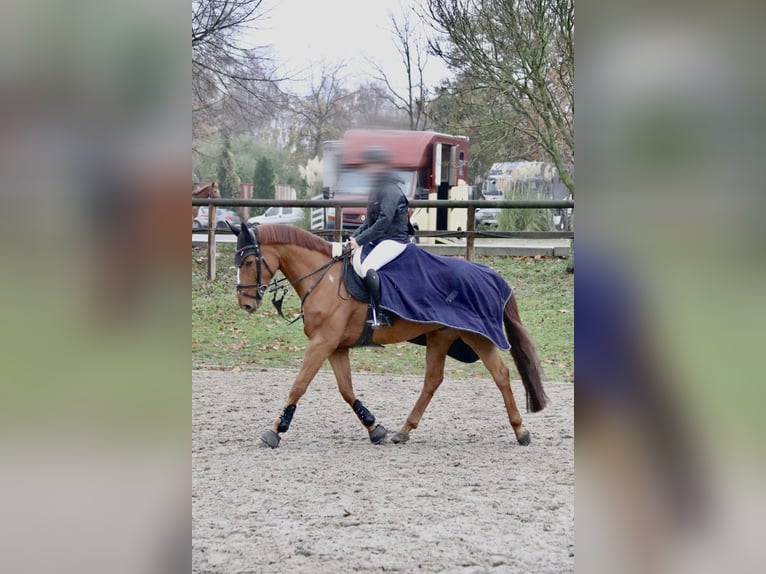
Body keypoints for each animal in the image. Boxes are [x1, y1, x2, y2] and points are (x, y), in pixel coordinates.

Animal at [227, 223, 548, 448]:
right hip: (440, 336)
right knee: (432, 381)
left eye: (248, 262)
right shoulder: (335, 347)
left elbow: (298, 386)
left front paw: (275, 430)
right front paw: (374, 428)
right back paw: (403, 431)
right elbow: (346, 390)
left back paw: (520, 430)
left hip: (476, 336)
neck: (324, 278)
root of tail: (491, 275)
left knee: (501, 375)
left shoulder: (322, 344)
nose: (245, 303)